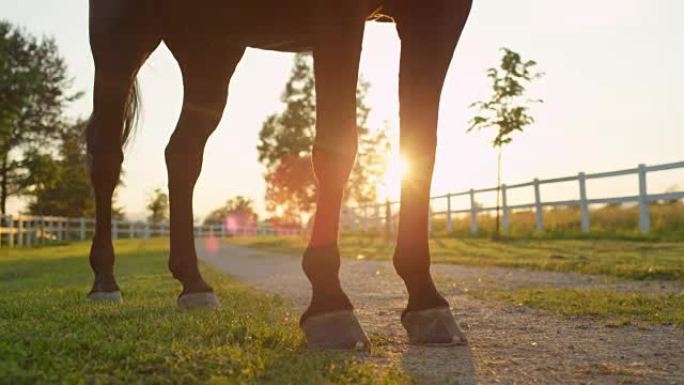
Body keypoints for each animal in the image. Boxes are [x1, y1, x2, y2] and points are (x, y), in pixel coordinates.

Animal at [84, 0, 470, 348]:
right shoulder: (337, 13)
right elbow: (337, 144)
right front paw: (329, 302)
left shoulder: (440, 14)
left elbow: (420, 151)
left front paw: (426, 299)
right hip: (119, 35)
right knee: (106, 156)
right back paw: (105, 283)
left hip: (210, 52)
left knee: (183, 155)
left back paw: (194, 284)